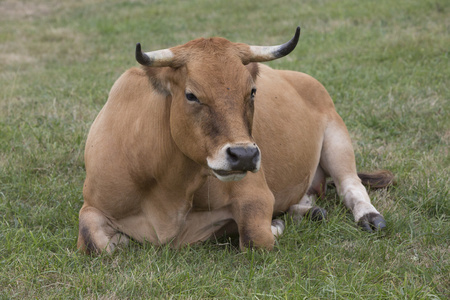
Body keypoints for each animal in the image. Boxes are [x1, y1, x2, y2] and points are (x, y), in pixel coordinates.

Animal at [77, 27, 394, 253]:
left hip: (338, 138)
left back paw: (367, 216)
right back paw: (308, 210)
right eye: (191, 95)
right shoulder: (92, 206)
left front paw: (276, 224)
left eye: (252, 91)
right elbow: (94, 244)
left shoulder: (255, 195)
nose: (244, 155)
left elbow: (256, 238)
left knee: (350, 185)